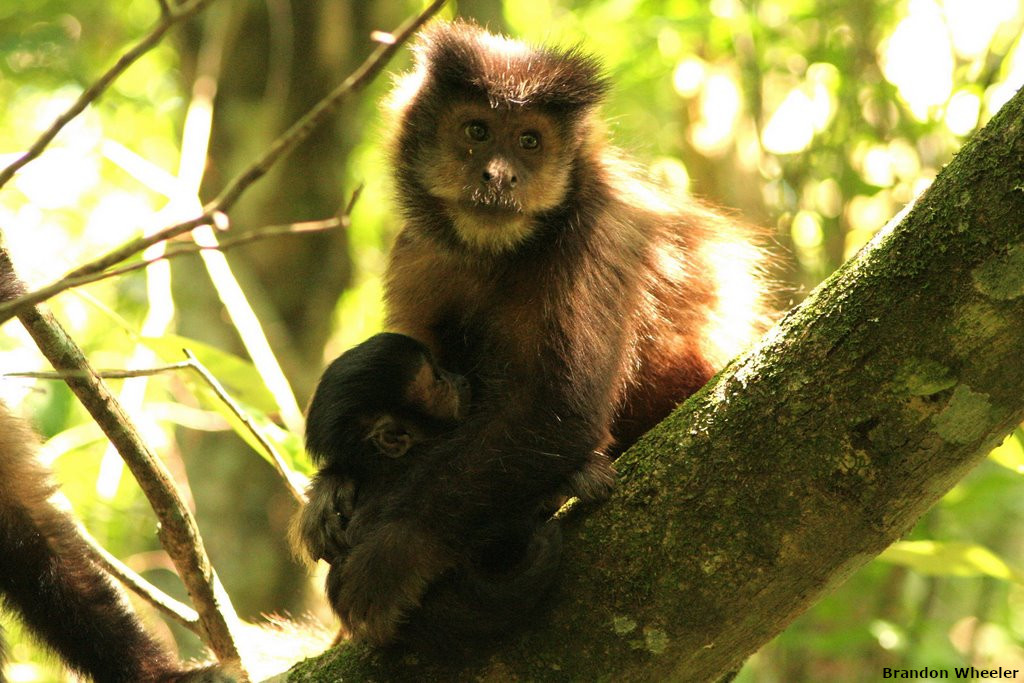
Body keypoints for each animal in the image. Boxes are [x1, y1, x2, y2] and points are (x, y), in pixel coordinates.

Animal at [325, 20, 774, 646]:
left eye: (529, 141)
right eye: (477, 131)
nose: (499, 175)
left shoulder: (595, 233)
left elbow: (557, 411)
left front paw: (392, 552)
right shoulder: (418, 247)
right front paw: (329, 489)